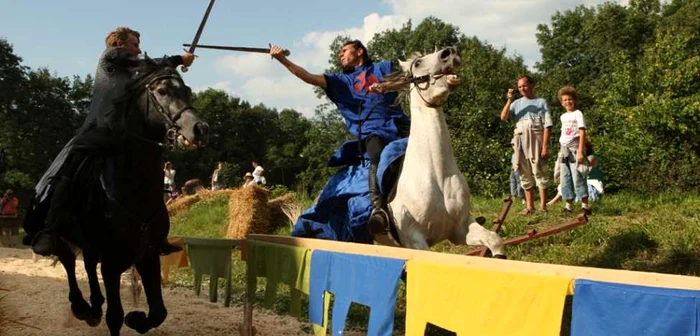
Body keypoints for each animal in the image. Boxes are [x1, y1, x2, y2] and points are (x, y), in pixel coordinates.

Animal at [25, 61, 211, 336]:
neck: (133, 191)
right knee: (68, 259)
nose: (200, 130)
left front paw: (136, 319)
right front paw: (122, 316)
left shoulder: (148, 256)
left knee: (87, 263)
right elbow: (115, 316)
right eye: (163, 91)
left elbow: (158, 312)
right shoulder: (112, 264)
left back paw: (93, 307)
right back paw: (81, 306)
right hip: (54, 234)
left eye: (187, 91)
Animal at [374, 47, 506, 258]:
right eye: (418, 63)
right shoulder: (415, 240)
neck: (436, 175)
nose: (449, 53)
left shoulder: (460, 229)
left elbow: (494, 240)